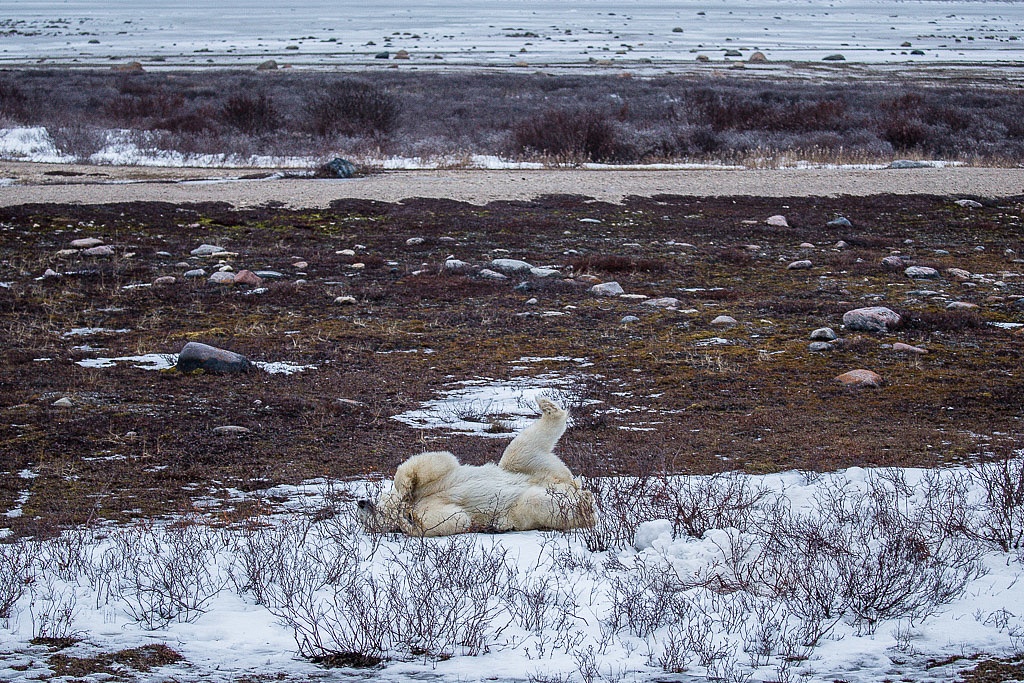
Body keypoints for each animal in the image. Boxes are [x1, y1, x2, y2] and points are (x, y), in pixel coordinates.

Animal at [360, 397, 598, 536]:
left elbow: (434, 462)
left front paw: (405, 488)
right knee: (538, 501)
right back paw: (583, 506)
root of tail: (571, 485)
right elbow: (453, 519)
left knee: (518, 451)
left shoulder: (435, 477)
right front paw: (407, 518)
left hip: (526, 469)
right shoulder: (434, 515)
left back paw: (546, 405)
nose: (361, 503)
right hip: (530, 498)